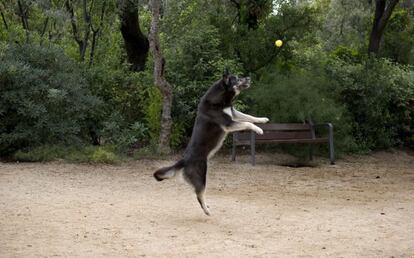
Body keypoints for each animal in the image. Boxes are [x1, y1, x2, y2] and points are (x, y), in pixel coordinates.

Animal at [154, 71, 268, 215]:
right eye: (236, 79)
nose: (248, 77)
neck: (221, 99)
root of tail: (184, 160)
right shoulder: (228, 124)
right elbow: (248, 123)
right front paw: (259, 129)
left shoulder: (234, 113)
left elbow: (249, 116)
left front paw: (263, 119)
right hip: (201, 176)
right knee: (199, 195)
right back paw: (207, 210)